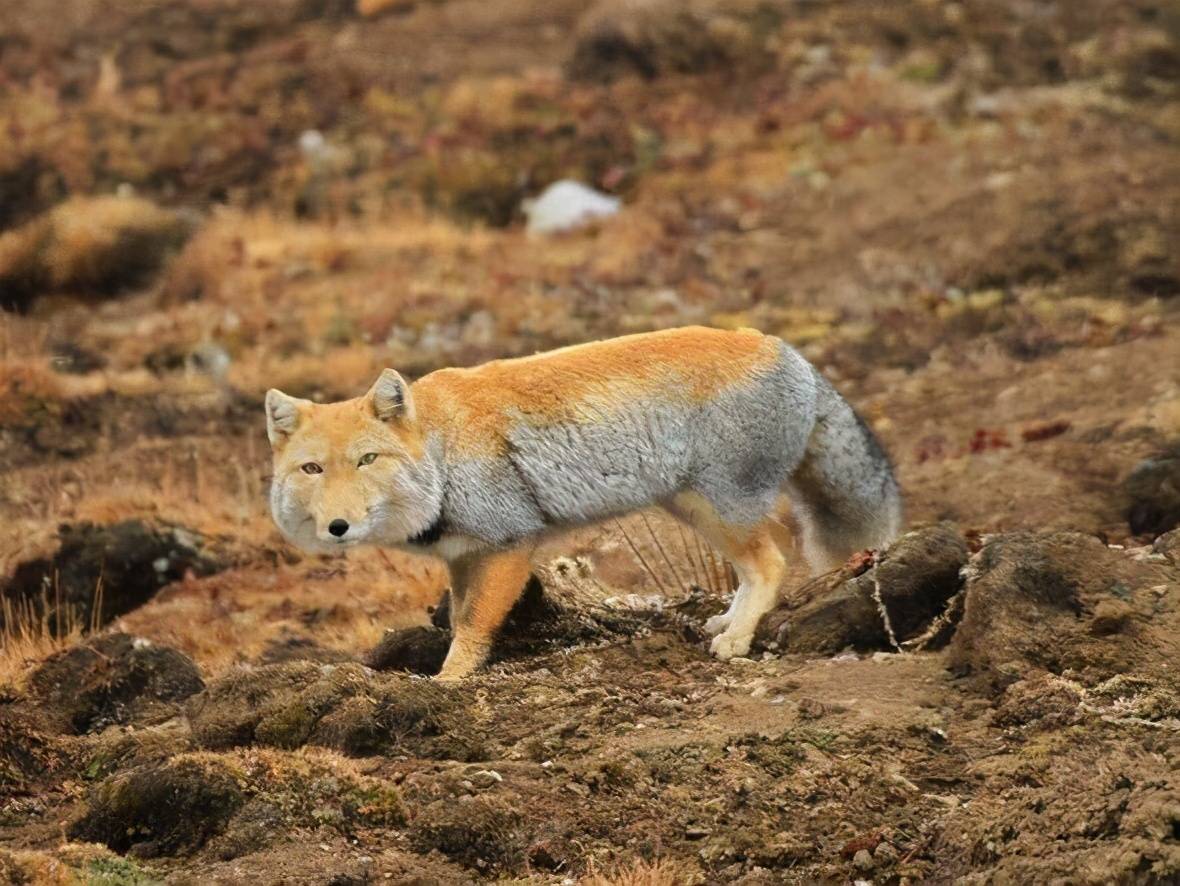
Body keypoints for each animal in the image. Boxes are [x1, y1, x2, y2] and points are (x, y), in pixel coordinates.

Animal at [265, 330, 892, 684]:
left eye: (367, 460)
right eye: (312, 469)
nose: (338, 526)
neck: (442, 454)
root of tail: (789, 351)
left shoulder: (510, 544)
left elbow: (472, 624)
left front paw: (448, 683)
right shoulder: (463, 557)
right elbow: (459, 616)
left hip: (722, 508)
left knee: (775, 561)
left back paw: (737, 640)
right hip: (693, 509)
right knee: (754, 567)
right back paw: (730, 621)